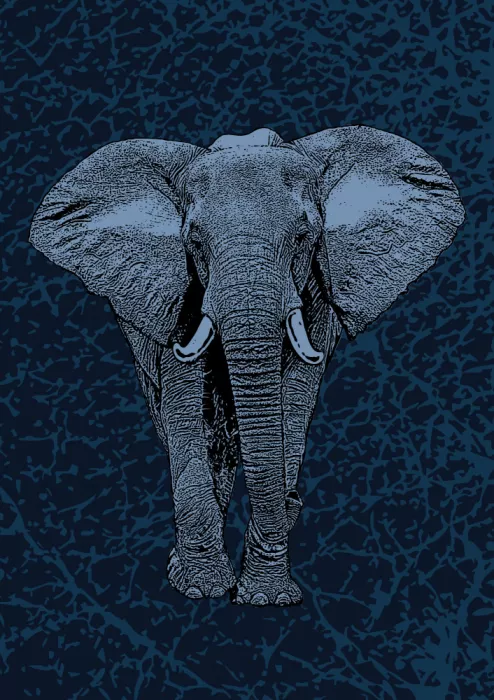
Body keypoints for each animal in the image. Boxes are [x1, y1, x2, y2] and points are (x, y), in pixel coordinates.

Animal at [30, 126, 465, 606]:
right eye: (195, 242)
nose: (295, 498)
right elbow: (186, 407)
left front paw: (266, 598)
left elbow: (293, 403)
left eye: (303, 237)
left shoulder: (317, 289)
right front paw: (200, 588)